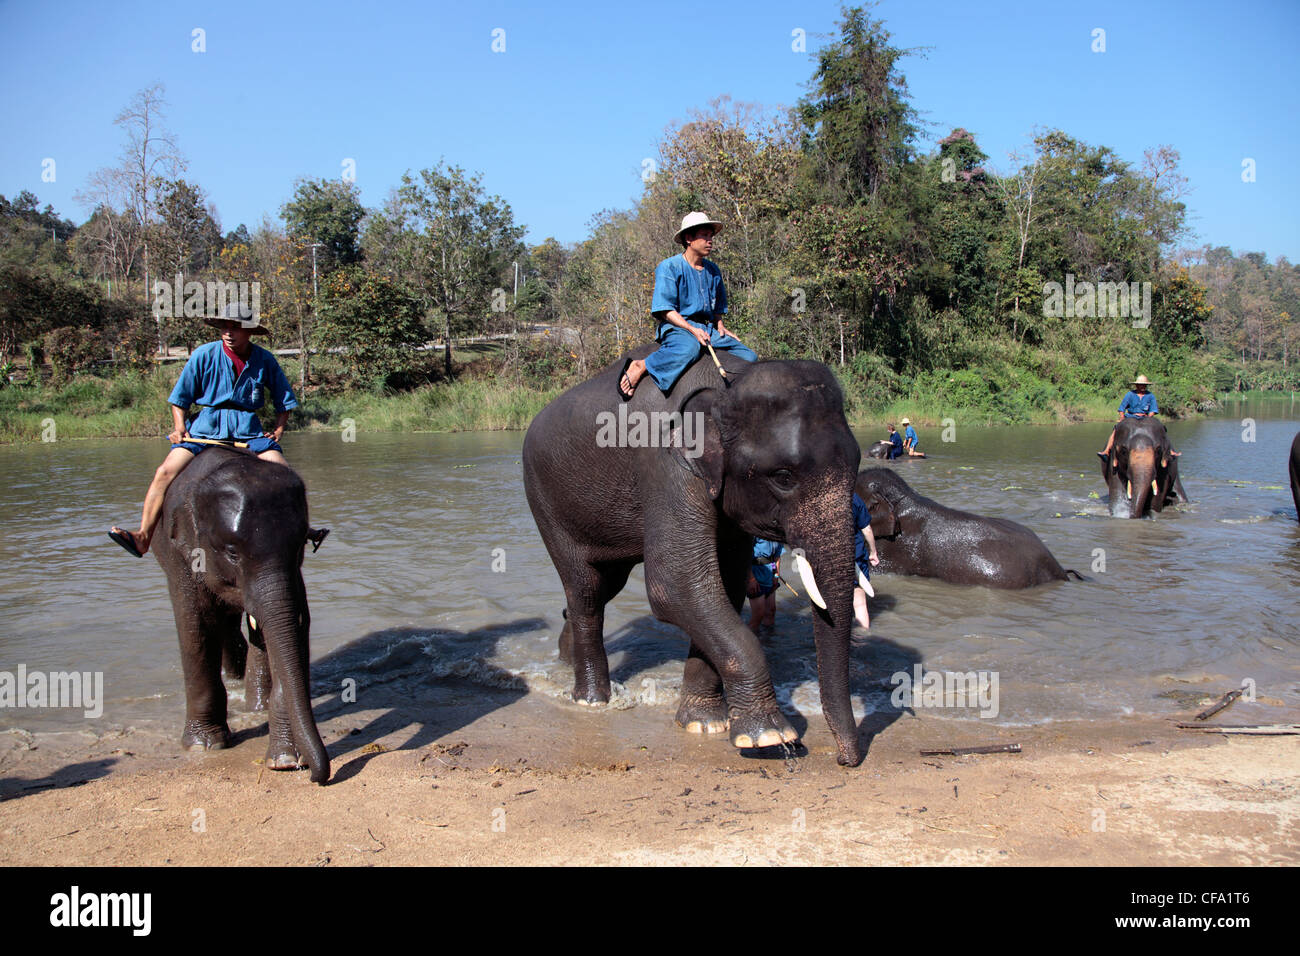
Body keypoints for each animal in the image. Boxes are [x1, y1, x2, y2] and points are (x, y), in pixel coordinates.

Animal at [153, 447, 330, 785]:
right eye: (232, 553)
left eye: (300, 544)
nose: (316, 776)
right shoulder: (180, 554)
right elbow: (195, 626)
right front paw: (203, 745)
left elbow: (292, 627)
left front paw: (286, 761)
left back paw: (255, 704)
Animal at [522, 348, 868, 764]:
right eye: (783, 477)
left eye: (857, 467)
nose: (843, 759)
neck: (727, 384)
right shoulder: (665, 463)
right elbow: (674, 584)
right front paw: (770, 737)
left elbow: (724, 584)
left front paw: (703, 724)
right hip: (545, 501)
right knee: (586, 590)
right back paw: (592, 700)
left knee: (605, 585)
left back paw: (564, 658)